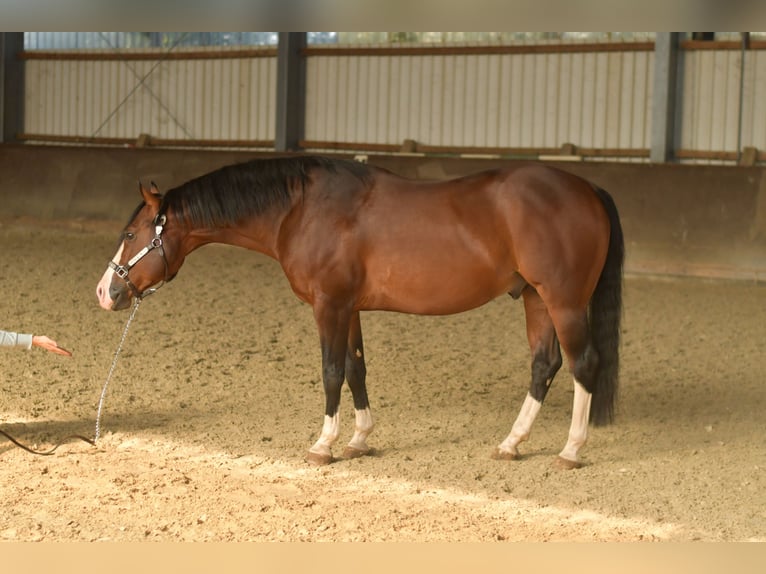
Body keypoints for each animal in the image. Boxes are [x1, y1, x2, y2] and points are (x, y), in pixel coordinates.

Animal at [96, 155, 623, 469]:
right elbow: (356, 369)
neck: (302, 209)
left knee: (583, 364)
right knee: (544, 365)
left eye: (130, 234)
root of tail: (588, 189)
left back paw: (571, 450)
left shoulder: (329, 305)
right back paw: (512, 443)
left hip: (563, 300)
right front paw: (359, 439)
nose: (106, 291)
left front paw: (324, 444)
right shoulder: (349, 308)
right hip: (534, 298)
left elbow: (331, 372)